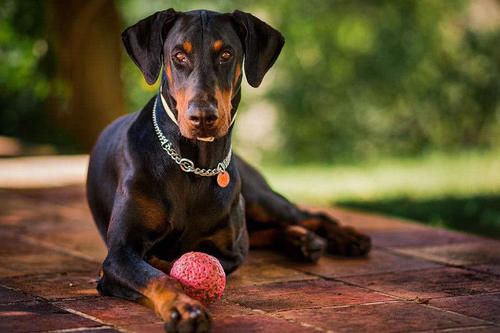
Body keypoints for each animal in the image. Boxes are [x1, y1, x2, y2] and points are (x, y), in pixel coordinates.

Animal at [86, 8, 372, 332]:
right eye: (178, 55)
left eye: (226, 54)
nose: (203, 117)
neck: (192, 165)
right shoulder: (120, 253)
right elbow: (160, 274)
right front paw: (185, 308)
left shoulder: (230, 251)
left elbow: (190, 260)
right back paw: (301, 241)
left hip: (259, 198)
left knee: (309, 215)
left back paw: (343, 237)